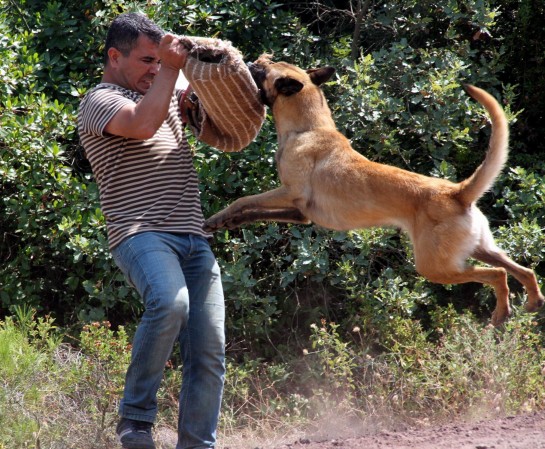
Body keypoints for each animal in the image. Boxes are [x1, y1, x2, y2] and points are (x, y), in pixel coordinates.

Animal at [202, 54, 540, 324]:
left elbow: (244, 200)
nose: (248, 61)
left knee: (498, 275)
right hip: (482, 249)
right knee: (523, 271)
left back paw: (501, 313)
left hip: (437, 267)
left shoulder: (288, 192)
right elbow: (254, 212)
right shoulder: (300, 213)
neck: (308, 127)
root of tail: (457, 193)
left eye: (262, 68)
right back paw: (533, 302)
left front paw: (215, 219)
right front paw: (227, 223)